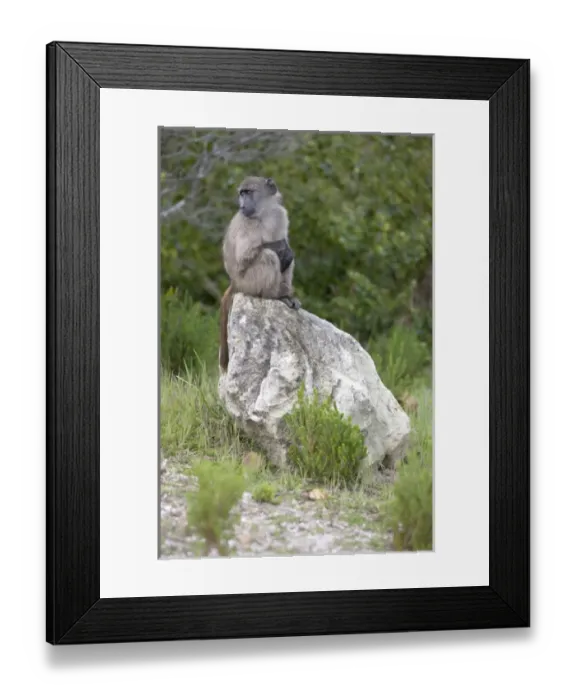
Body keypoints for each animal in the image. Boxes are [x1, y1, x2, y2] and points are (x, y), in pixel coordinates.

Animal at [219, 176, 300, 371]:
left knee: (287, 260)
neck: (264, 212)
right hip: (248, 282)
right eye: (242, 193)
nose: (241, 205)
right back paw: (275, 296)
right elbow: (245, 256)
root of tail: (234, 283)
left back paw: (286, 295)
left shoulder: (280, 214)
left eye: (247, 192)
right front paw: (281, 247)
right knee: (270, 255)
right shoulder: (248, 223)